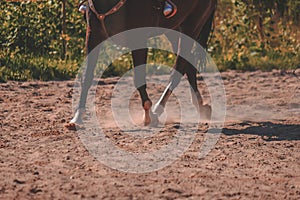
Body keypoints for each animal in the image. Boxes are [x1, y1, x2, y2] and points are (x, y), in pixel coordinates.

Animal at [65, 0, 217, 128]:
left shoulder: (138, 39)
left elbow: (138, 79)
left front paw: (148, 115)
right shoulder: (93, 36)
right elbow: (87, 77)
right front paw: (77, 118)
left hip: (191, 26)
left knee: (178, 69)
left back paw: (158, 109)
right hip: (174, 30)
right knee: (188, 64)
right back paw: (201, 106)